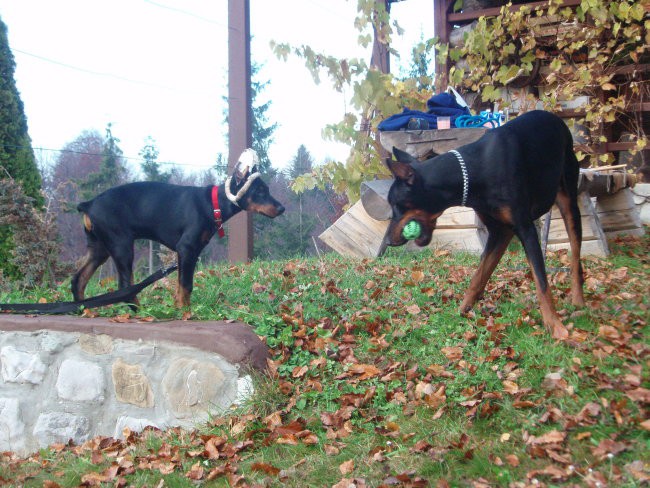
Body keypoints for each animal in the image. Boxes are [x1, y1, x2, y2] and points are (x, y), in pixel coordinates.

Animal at [71, 150, 284, 308]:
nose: (282, 208)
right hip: (121, 246)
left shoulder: (188, 253)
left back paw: (84, 310)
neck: (212, 204)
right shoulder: (187, 247)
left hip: (99, 248)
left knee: (78, 280)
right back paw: (139, 313)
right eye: (260, 191)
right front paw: (186, 312)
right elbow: (187, 284)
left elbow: (181, 285)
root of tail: (89, 204)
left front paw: (180, 307)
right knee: (125, 286)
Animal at [382, 110, 584, 340]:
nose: (387, 241)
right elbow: (480, 273)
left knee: (576, 256)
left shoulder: (525, 228)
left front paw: (555, 325)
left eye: (396, 205)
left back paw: (578, 299)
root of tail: (558, 119)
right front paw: (462, 310)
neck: (473, 171)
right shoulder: (499, 231)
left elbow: (541, 281)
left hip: (569, 203)